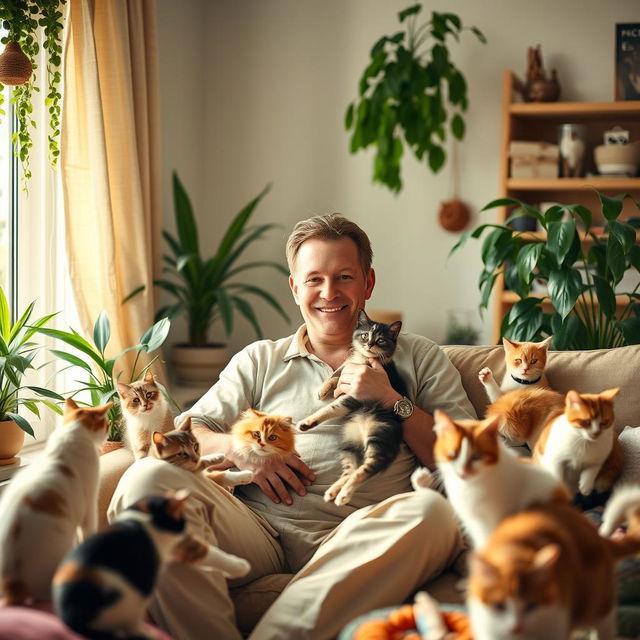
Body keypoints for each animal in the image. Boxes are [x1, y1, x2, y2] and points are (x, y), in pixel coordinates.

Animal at [0, 398, 112, 604]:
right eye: (107, 424)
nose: (109, 429)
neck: (71, 435)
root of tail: (13, 583)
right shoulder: (89, 508)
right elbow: (87, 535)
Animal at [52, 488, 250, 636]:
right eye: (182, 521)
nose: (186, 527)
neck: (142, 518)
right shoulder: (182, 545)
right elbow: (211, 553)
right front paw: (239, 566)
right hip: (129, 600)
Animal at [296, 312, 408, 508]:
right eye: (364, 335)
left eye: (381, 340)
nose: (369, 344)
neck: (363, 359)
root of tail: (363, 436)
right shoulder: (349, 371)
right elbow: (337, 376)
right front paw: (323, 389)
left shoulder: (356, 395)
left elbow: (332, 406)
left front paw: (305, 420)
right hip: (348, 442)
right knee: (350, 470)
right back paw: (333, 492)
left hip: (381, 436)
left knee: (366, 469)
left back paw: (344, 495)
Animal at [464, 490, 640, 636]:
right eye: (499, 605)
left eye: (531, 606)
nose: (516, 628)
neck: (514, 552)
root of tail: (597, 535)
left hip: (597, 604)